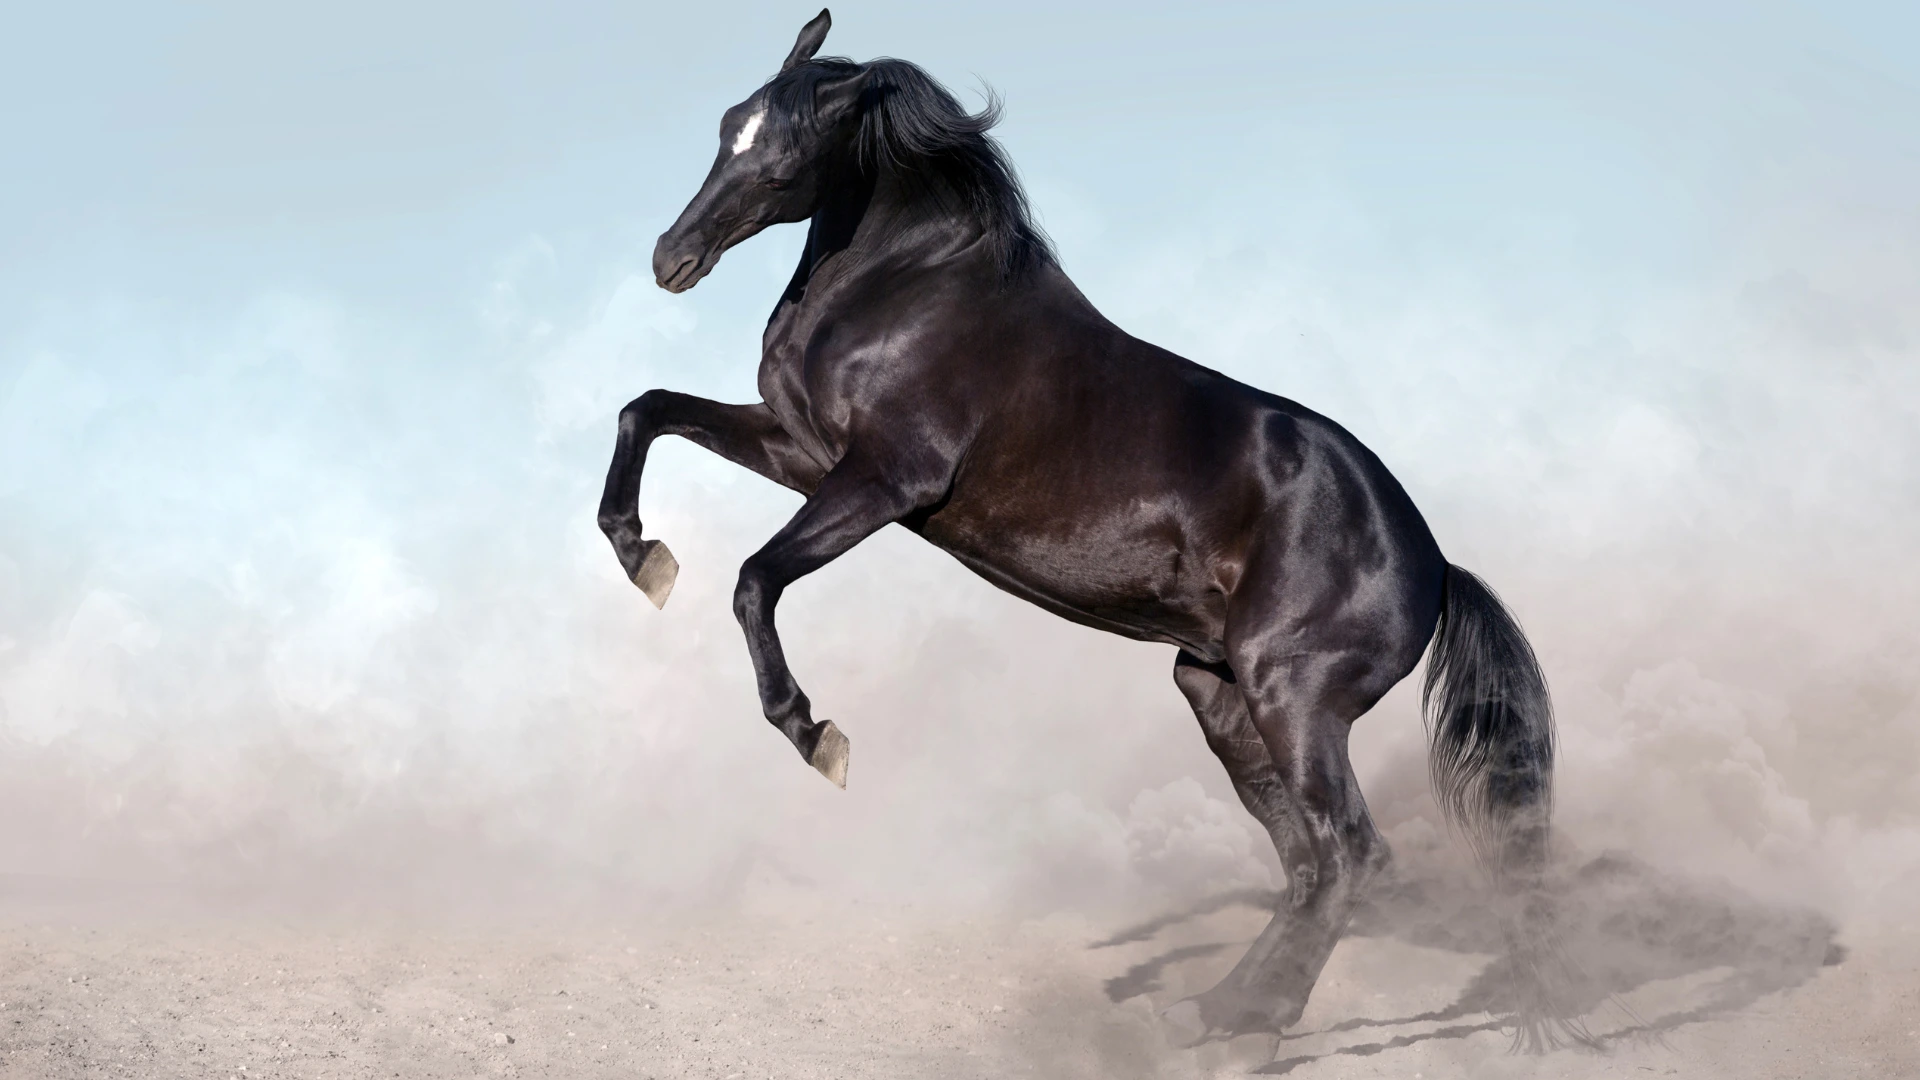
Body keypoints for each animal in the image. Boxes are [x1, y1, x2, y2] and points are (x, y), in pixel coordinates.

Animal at [600, 9, 1575, 1049]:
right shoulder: (800, 450)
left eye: (783, 160)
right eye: (724, 130)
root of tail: (1434, 564)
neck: (910, 290)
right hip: (1218, 693)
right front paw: (643, 556)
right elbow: (646, 410)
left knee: (1349, 855)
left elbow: (756, 577)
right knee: (1308, 861)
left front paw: (815, 734)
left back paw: (1244, 1027)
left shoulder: (883, 480)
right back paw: (1215, 1011)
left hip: (1295, 699)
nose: (669, 259)